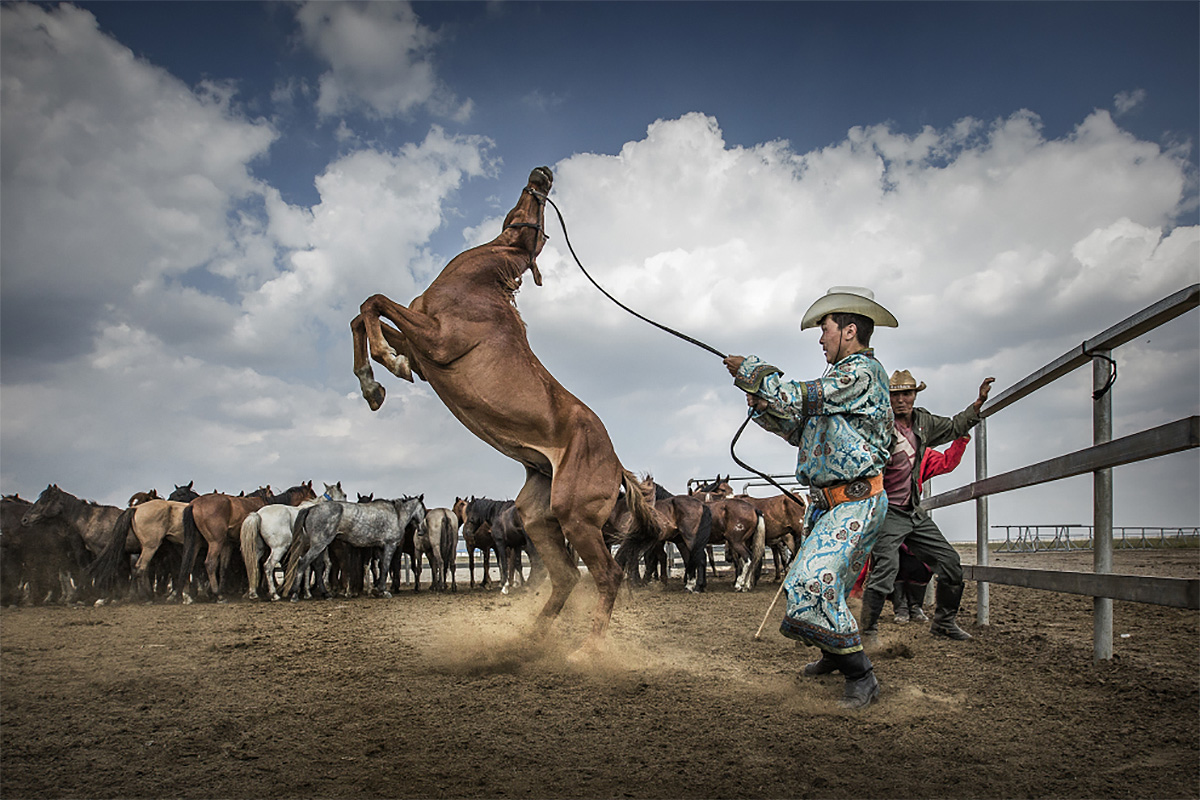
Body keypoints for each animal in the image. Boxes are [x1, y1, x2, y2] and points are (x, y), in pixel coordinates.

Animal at [350, 165, 662, 662]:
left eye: (539, 219)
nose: (543, 174)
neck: (476, 288)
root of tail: (616, 467)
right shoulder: (423, 351)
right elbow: (362, 317)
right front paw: (372, 384)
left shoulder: (436, 341)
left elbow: (374, 303)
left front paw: (384, 366)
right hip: (538, 515)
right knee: (566, 577)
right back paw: (524, 642)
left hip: (576, 518)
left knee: (606, 576)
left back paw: (585, 652)